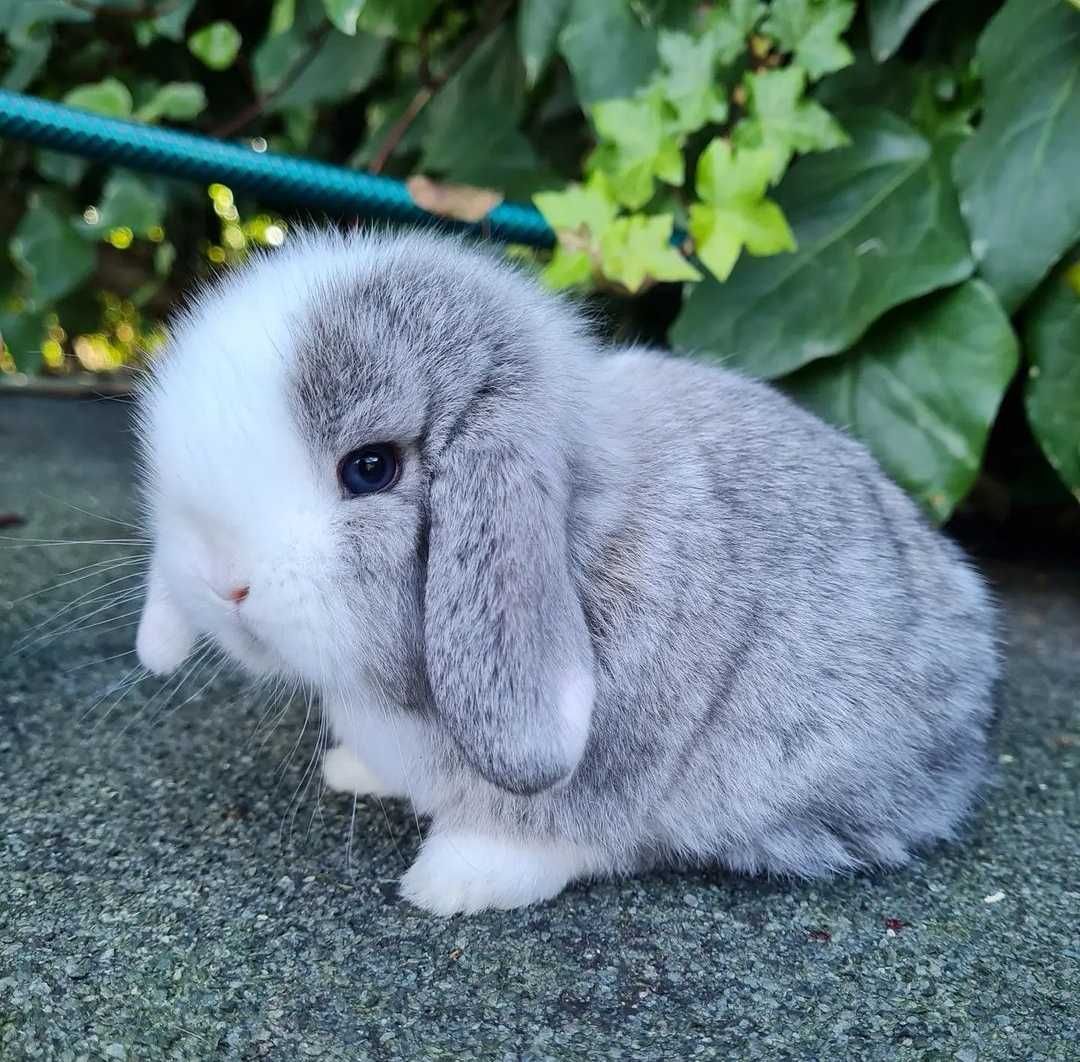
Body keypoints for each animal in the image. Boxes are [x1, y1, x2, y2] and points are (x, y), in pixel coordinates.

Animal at [132, 227, 993, 916]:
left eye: (370, 469)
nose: (223, 584)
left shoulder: (610, 757)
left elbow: (550, 828)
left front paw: (451, 884)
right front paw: (354, 770)